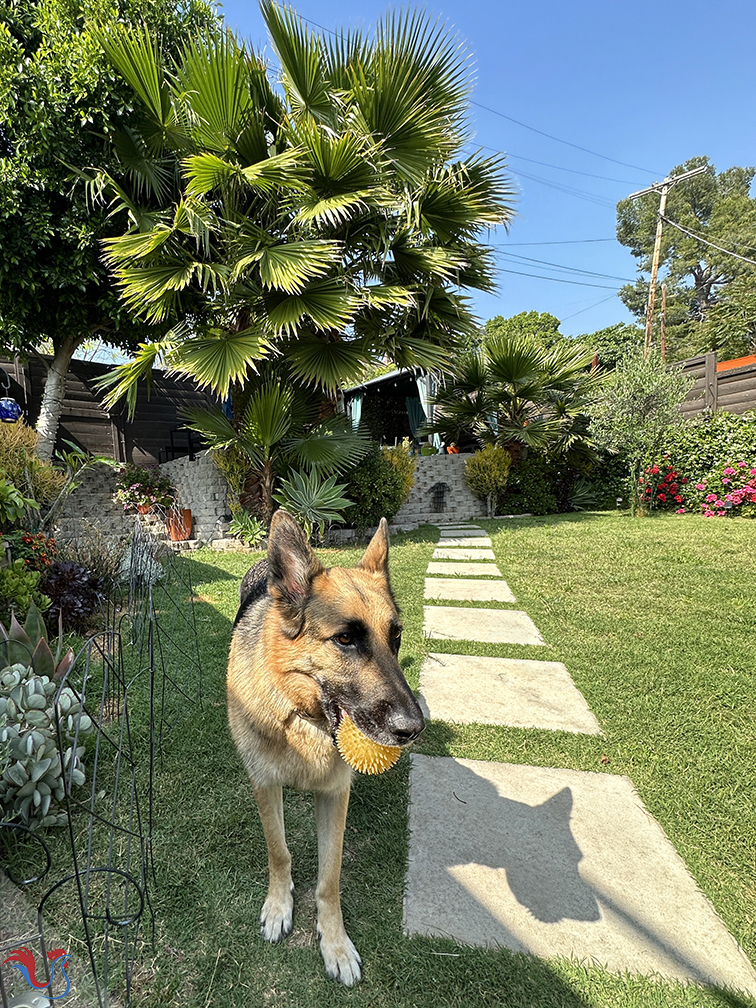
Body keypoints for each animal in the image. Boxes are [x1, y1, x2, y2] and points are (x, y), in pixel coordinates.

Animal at [224, 512, 427, 983]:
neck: (301, 714)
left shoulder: (336, 795)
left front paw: (334, 942)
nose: (414, 728)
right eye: (345, 639)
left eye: (396, 638)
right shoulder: (265, 785)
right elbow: (279, 851)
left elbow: (329, 877)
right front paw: (279, 905)